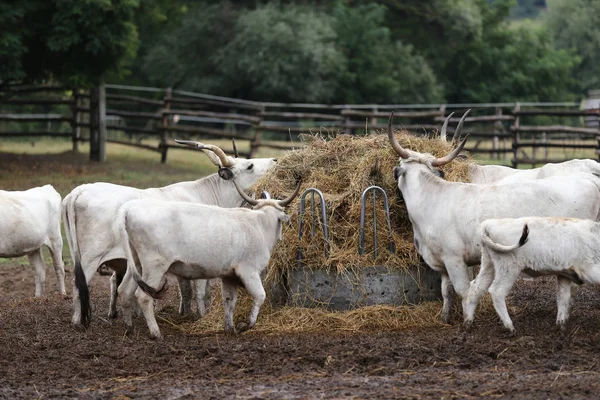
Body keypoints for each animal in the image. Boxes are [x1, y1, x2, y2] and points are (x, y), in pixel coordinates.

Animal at [62, 141, 276, 328]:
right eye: (249, 165)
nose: (274, 160)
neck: (209, 196)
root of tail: (81, 190)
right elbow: (198, 290)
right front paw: (200, 315)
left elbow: (189, 290)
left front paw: (186, 312)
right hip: (91, 258)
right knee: (78, 286)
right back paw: (78, 321)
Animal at [118, 180, 302, 340]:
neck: (259, 224)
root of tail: (129, 209)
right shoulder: (249, 271)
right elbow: (260, 296)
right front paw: (247, 325)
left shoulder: (229, 275)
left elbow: (229, 300)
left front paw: (230, 328)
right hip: (155, 266)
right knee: (143, 297)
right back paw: (156, 333)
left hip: (137, 265)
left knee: (124, 291)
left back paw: (129, 329)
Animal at [466, 217, 600, 332]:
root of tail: (488, 224)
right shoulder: (587, 268)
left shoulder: (564, 274)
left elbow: (563, 297)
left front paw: (561, 324)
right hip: (508, 268)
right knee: (497, 291)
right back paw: (510, 326)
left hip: (489, 265)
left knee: (476, 288)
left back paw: (468, 321)